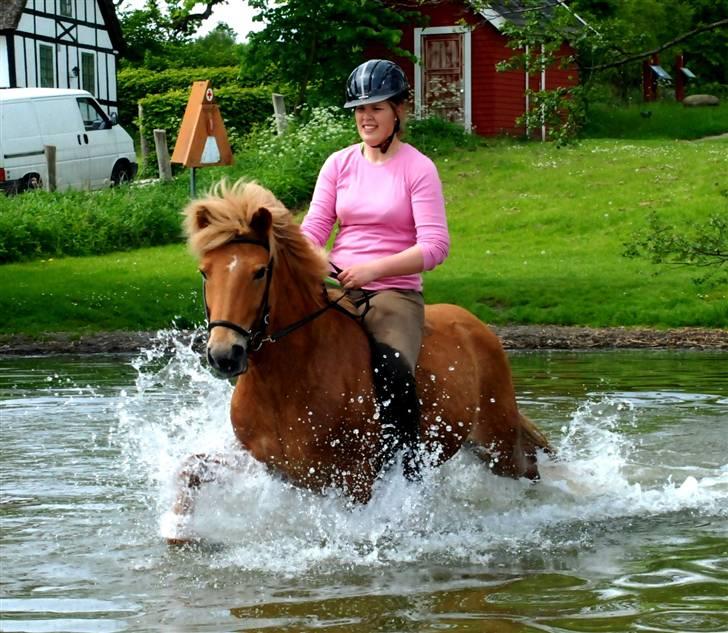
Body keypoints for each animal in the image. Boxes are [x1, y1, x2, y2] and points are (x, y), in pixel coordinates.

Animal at [166, 180, 552, 540]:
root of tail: (477, 326)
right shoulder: (266, 464)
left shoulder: (355, 478)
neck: (288, 379)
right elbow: (190, 468)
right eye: (205, 271)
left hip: (496, 442)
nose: (224, 355)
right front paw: (176, 528)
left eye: (259, 271)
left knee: (530, 466)